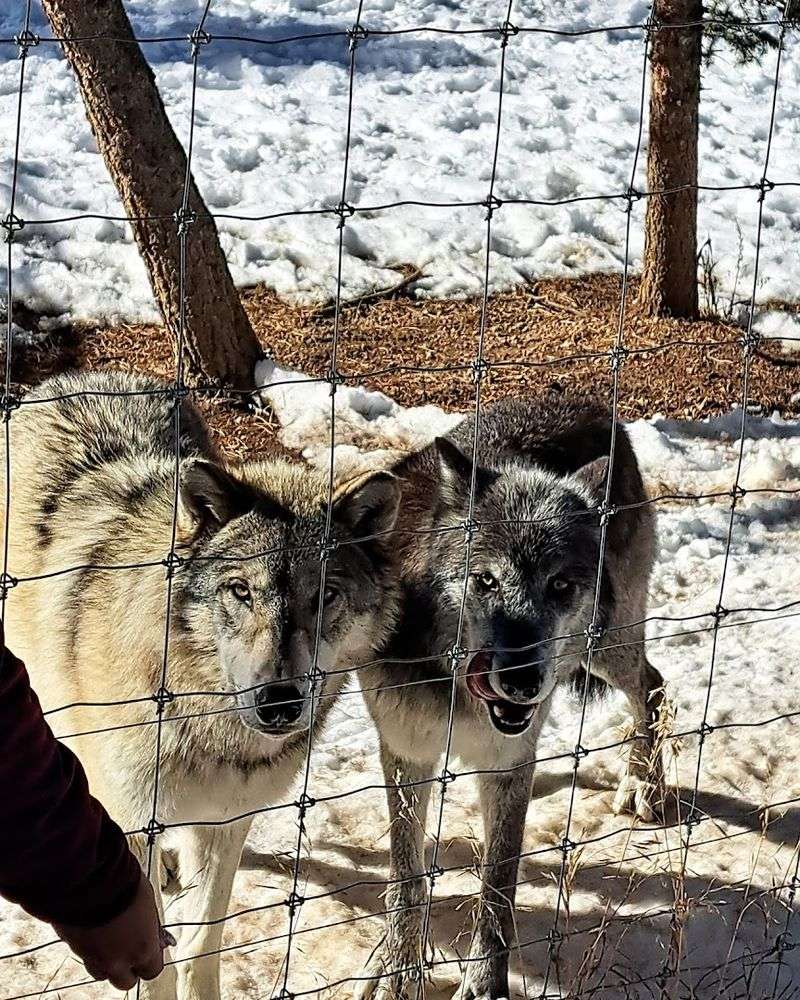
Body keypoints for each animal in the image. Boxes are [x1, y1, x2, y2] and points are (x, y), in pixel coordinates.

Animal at [1, 370, 401, 1000]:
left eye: (326, 597)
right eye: (241, 590)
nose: (280, 703)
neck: (208, 728)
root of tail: (80, 377)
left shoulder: (226, 820)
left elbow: (203, 939)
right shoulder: (139, 818)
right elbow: (155, 957)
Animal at [356, 394, 665, 1000]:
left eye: (561, 586)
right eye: (485, 581)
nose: (522, 681)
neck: (457, 689)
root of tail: (590, 401)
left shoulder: (508, 761)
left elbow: (498, 883)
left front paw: (483, 982)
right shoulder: (406, 752)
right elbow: (407, 878)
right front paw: (400, 973)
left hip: (605, 644)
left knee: (654, 685)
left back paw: (641, 785)